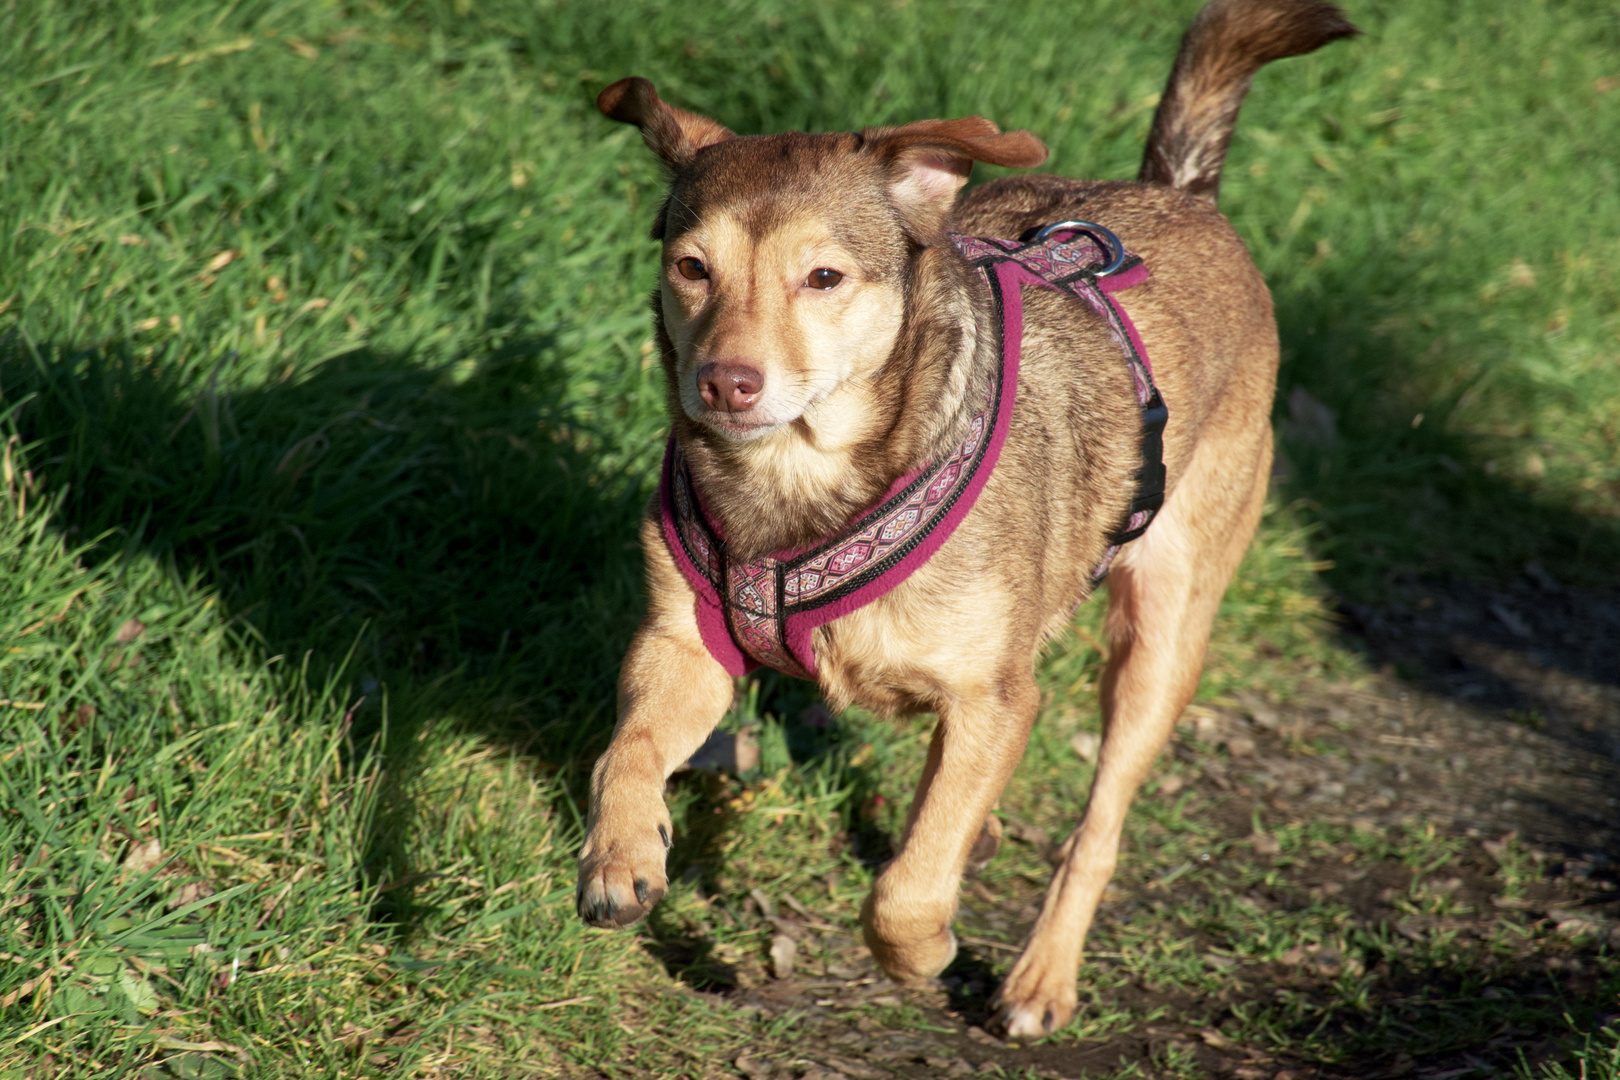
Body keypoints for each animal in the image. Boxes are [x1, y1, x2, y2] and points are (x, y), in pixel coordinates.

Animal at [576, 0, 1360, 1036]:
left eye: (823, 278)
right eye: (691, 267)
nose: (725, 382)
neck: (799, 481)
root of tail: (1182, 195)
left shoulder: (996, 696)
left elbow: (907, 891)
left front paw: (924, 952)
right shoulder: (681, 646)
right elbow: (625, 752)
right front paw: (621, 854)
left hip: (1162, 634)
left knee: (1095, 825)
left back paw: (1041, 977)